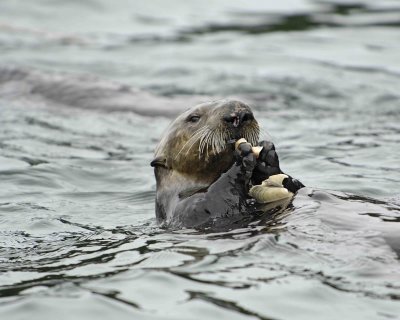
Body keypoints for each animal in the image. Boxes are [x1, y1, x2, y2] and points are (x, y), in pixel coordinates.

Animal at [150, 99, 304, 228]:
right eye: (193, 118)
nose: (239, 115)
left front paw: (267, 156)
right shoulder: (186, 210)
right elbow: (211, 203)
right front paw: (242, 155)